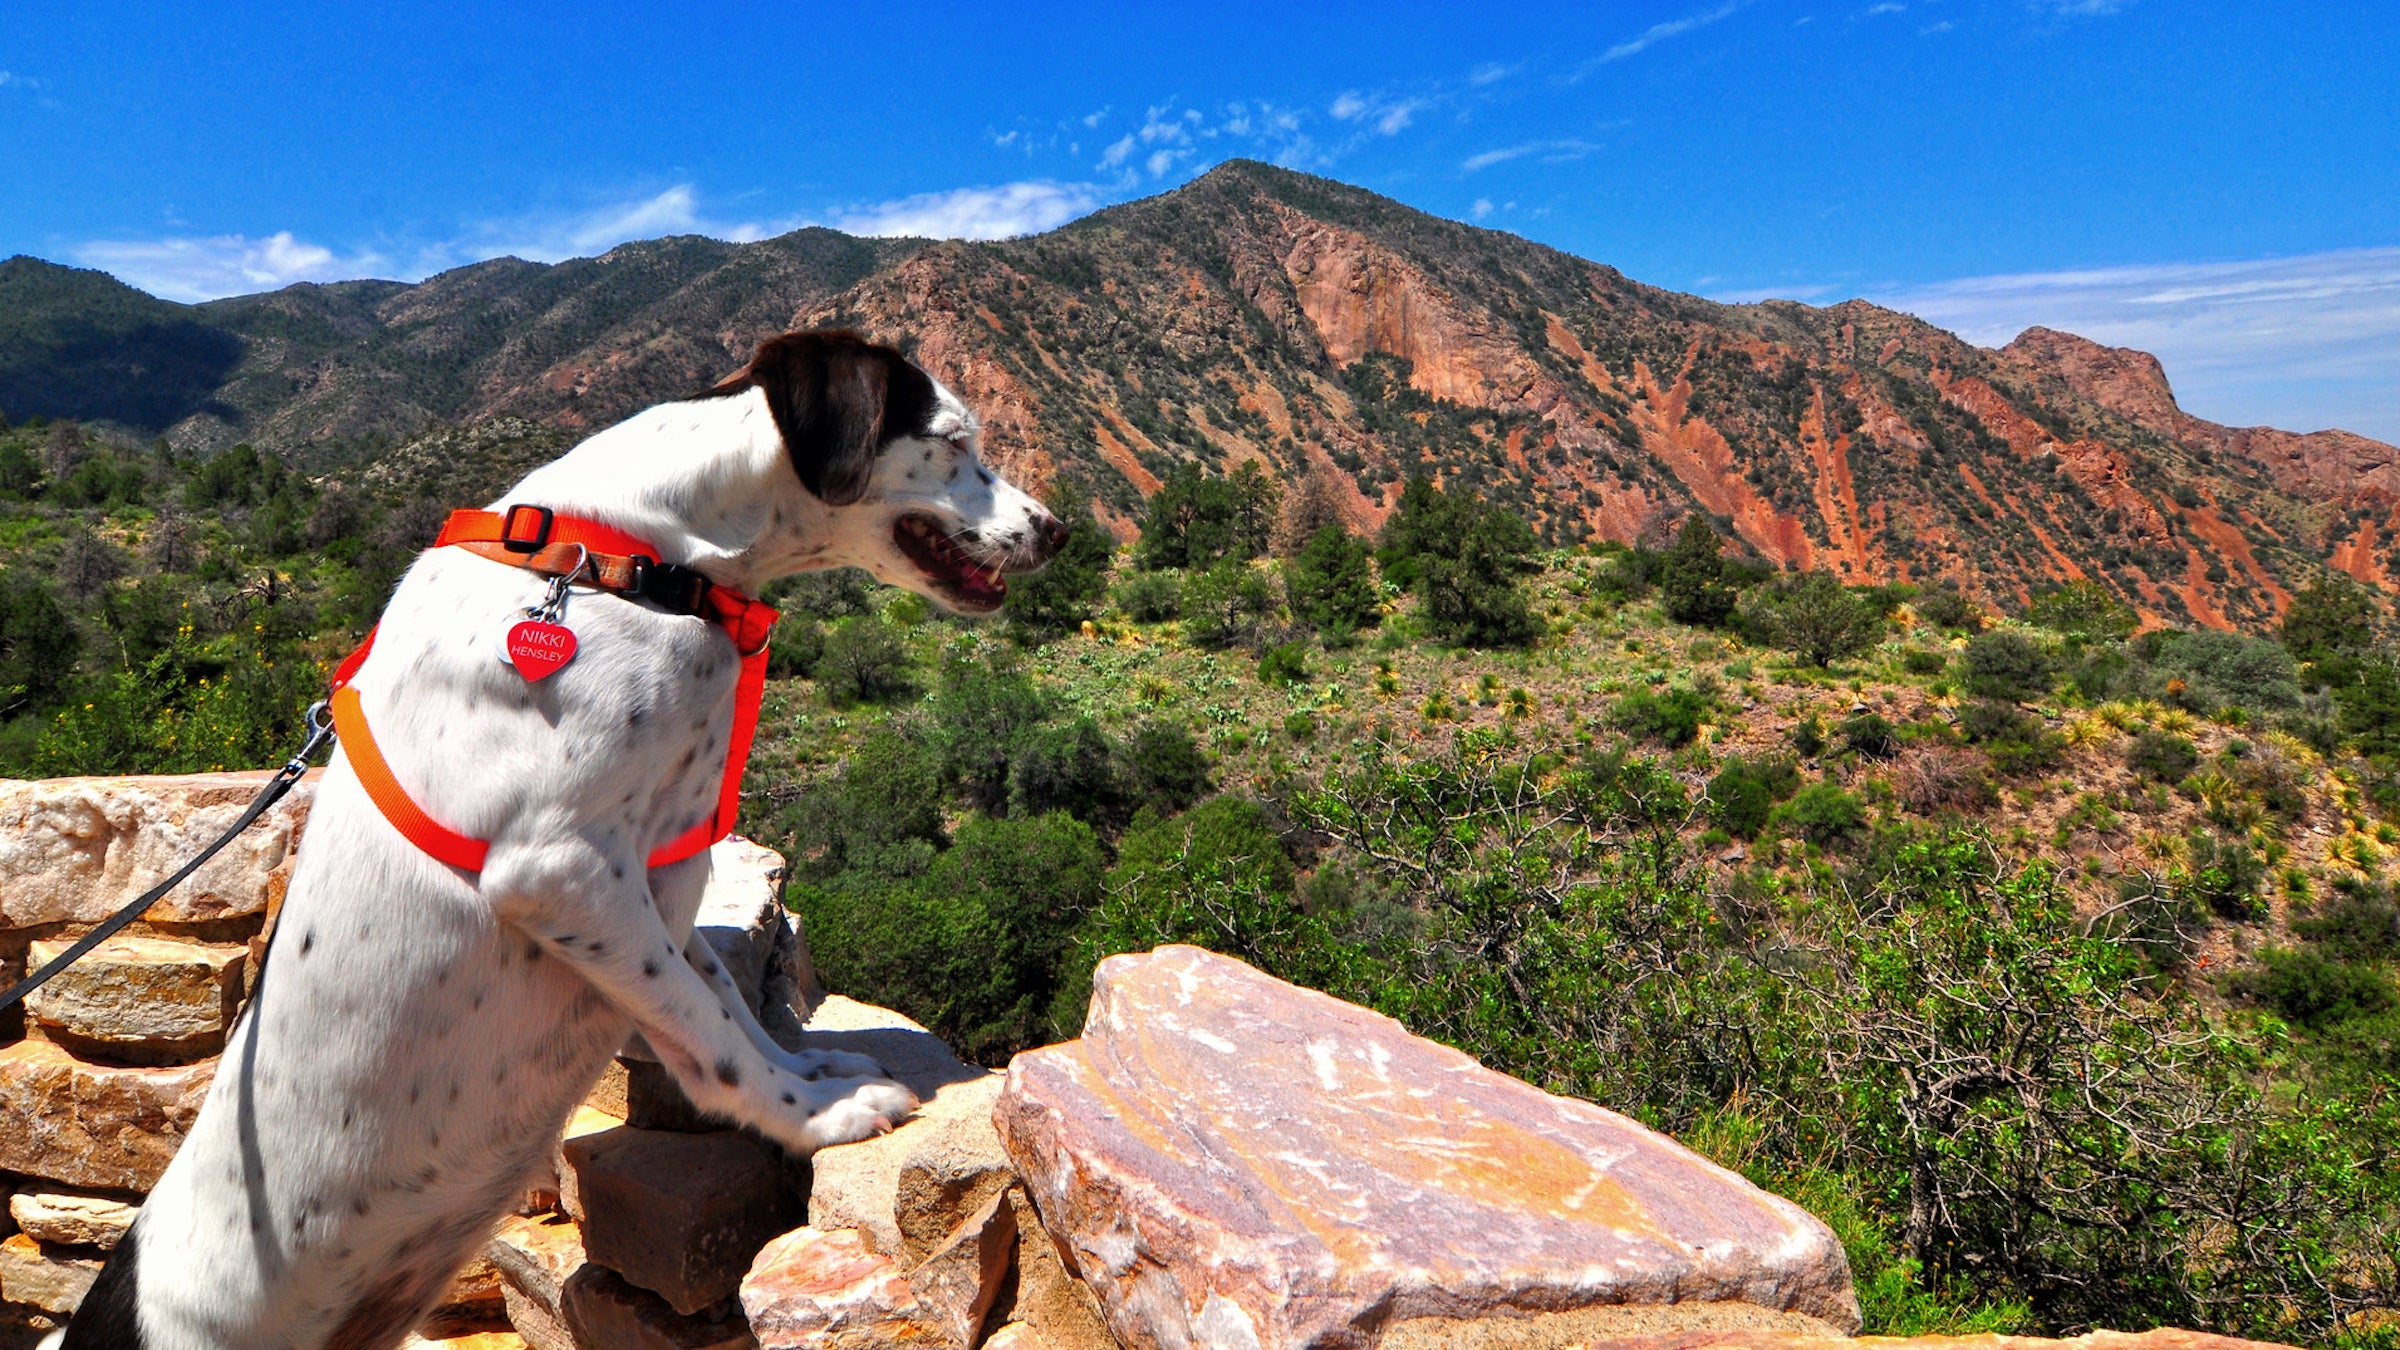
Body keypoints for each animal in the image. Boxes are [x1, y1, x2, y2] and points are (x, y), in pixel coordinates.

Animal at [63, 329, 1070, 1345]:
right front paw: (815, 1111)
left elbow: (726, 1002)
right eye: (953, 441)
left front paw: (808, 1065)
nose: (1057, 531)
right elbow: (707, 1028)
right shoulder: (559, 871)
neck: (643, 557)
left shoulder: (660, 874)